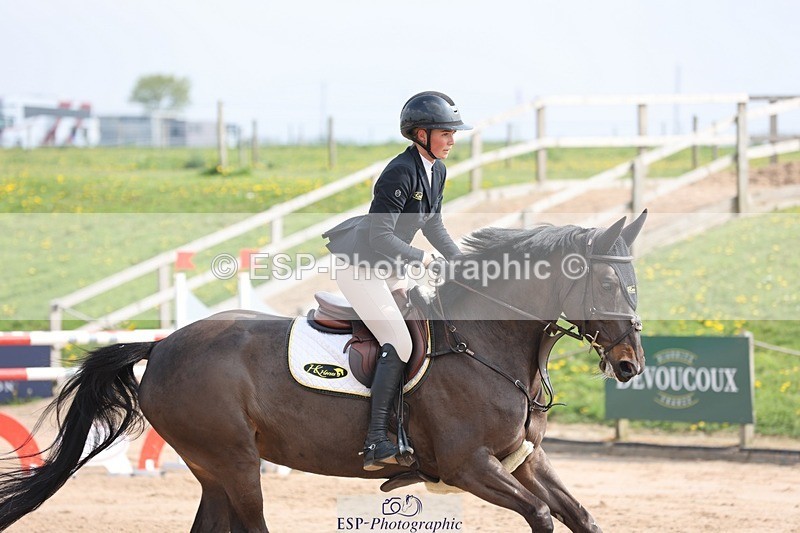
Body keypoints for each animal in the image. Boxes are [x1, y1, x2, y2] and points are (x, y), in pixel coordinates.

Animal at [0, 210, 647, 532]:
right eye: (608, 283)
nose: (629, 365)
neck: (486, 341)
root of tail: (161, 347)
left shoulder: (522, 458)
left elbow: (579, 516)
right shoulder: (468, 465)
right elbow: (541, 515)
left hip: (213, 470)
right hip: (236, 463)